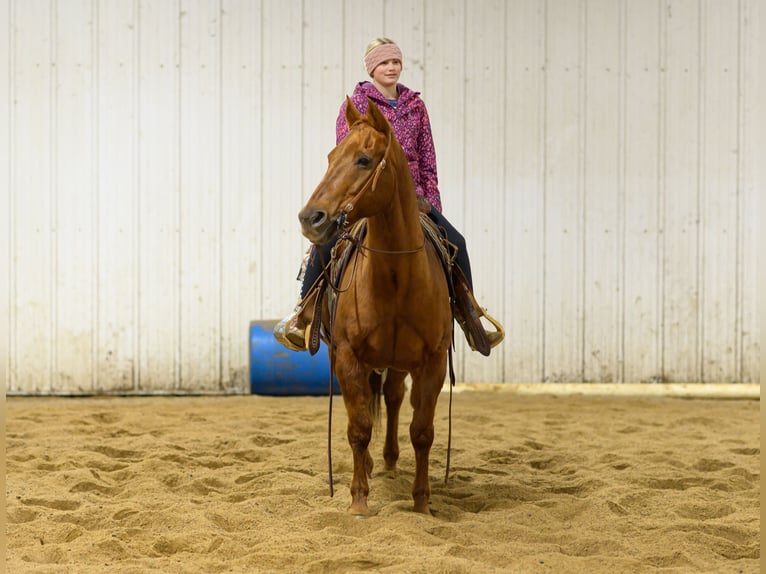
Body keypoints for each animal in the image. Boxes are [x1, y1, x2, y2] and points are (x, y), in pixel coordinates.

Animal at [298, 97, 453, 516]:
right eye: (331, 156)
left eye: (364, 160)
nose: (310, 217)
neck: (396, 277)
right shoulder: (347, 356)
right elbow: (359, 427)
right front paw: (358, 500)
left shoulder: (433, 360)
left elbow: (422, 431)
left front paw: (422, 503)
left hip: (400, 362)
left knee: (395, 397)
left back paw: (390, 460)